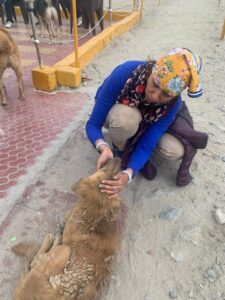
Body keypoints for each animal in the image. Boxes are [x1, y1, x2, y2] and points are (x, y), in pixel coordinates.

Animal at [11, 158, 121, 298]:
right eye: (105, 170)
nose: (119, 158)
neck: (96, 215)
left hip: (64, 250)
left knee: (34, 261)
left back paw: (53, 238)